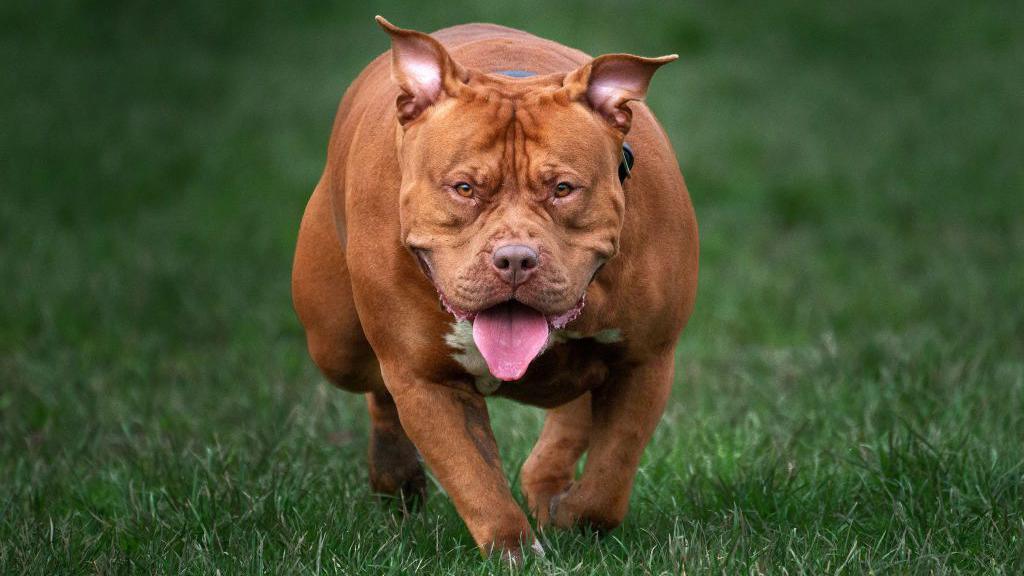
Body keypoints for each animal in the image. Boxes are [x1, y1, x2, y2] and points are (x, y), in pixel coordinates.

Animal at [292, 15, 700, 557]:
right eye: (464, 188)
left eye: (563, 188)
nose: (514, 259)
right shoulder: (426, 379)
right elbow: (475, 479)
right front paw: (515, 550)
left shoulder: (646, 361)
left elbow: (610, 477)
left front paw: (573, 517)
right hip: (334, 341)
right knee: (375, 386)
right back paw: (396, 475)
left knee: (575, 406)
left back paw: (546, 484)